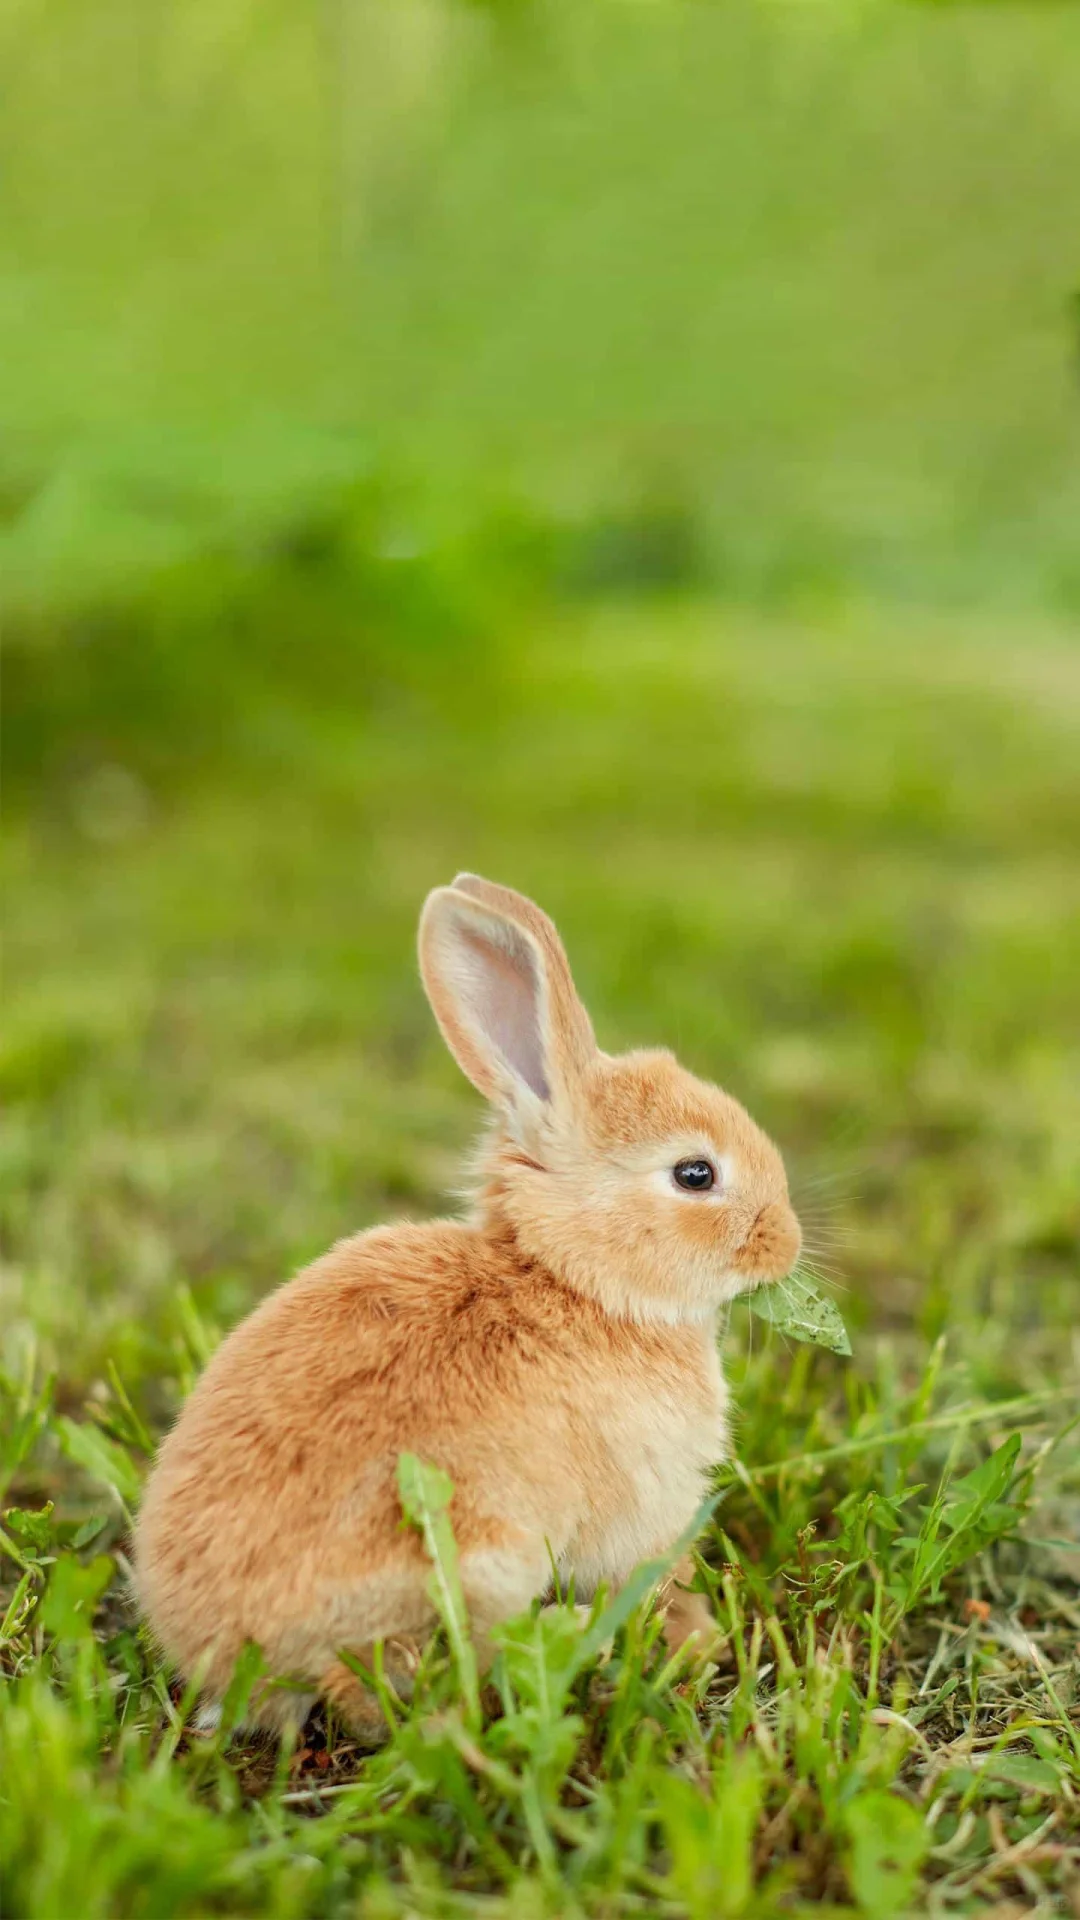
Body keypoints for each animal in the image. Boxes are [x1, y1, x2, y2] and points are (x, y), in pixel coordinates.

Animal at [130, 879, 795, 1751]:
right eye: (695, 1174)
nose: (786, 1244)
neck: (568, 1278)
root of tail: (224, 1653)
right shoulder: (643, 1510)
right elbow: (655, 1573)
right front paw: (700, 1637)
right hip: (476, 1561)